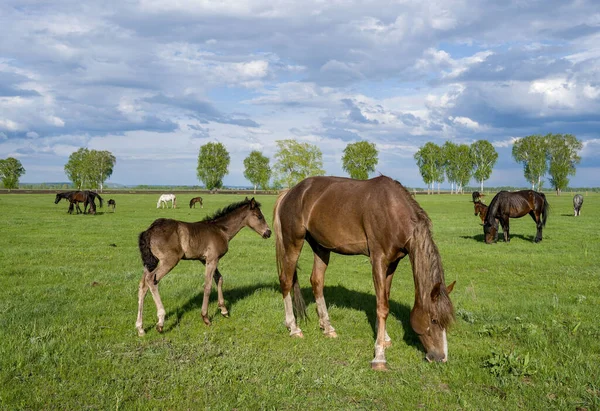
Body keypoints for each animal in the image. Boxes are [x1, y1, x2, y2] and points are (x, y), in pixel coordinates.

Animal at [136, 198, 272, 336]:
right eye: (259, 216)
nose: (268, 232)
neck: (221, 230)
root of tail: (149, 231)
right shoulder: (212, 259)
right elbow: (207, 286)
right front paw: (205, 317)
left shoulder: (206, 260)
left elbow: (219, 279)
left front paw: (223, 310)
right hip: (169, 261)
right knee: (151, 280)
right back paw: (160, 321)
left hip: (151, 262)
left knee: (143, 285)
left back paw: (140, 328)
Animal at [274, 175, 454, 372]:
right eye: (434, 320)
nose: (441, 358)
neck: (393, 211)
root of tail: (290, 192)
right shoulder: (378, 260)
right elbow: (382, 307)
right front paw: (379, 356)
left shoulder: (393, 263)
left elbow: (384, 299)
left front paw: (384, 338)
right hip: (293, 242)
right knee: (286, 280)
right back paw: (293, 328)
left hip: (321, 248)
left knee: (317, 281)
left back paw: (327, 327)